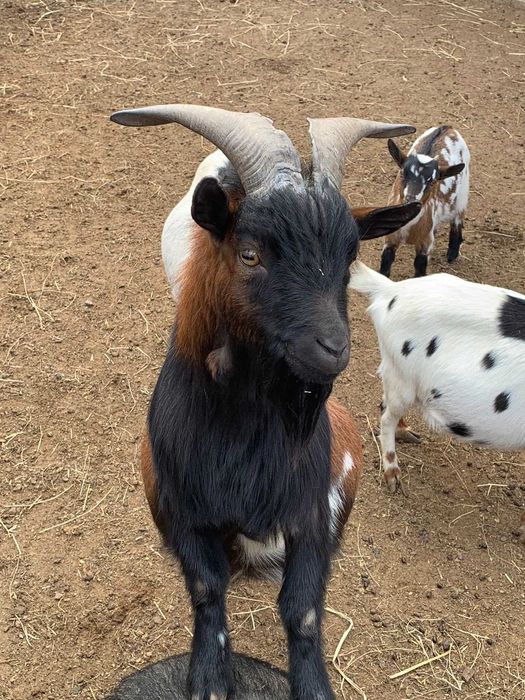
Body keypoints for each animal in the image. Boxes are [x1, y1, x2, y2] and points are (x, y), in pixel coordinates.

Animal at [349, 261, 525, 542]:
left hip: (395, 371)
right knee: (386, 419)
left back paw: (411, 436)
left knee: (385, 404)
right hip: (402, 374)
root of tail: (391, 291)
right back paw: (394, 480)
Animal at [379, 125, 470, 277]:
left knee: (457, 220)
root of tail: (448, 127)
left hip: (463, 193)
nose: (411, 200)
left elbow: (420, 269)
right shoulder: (390, 239)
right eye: (402, 173)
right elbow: (385, 266)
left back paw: (452, 253)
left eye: (433, 181)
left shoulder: (424, 245)